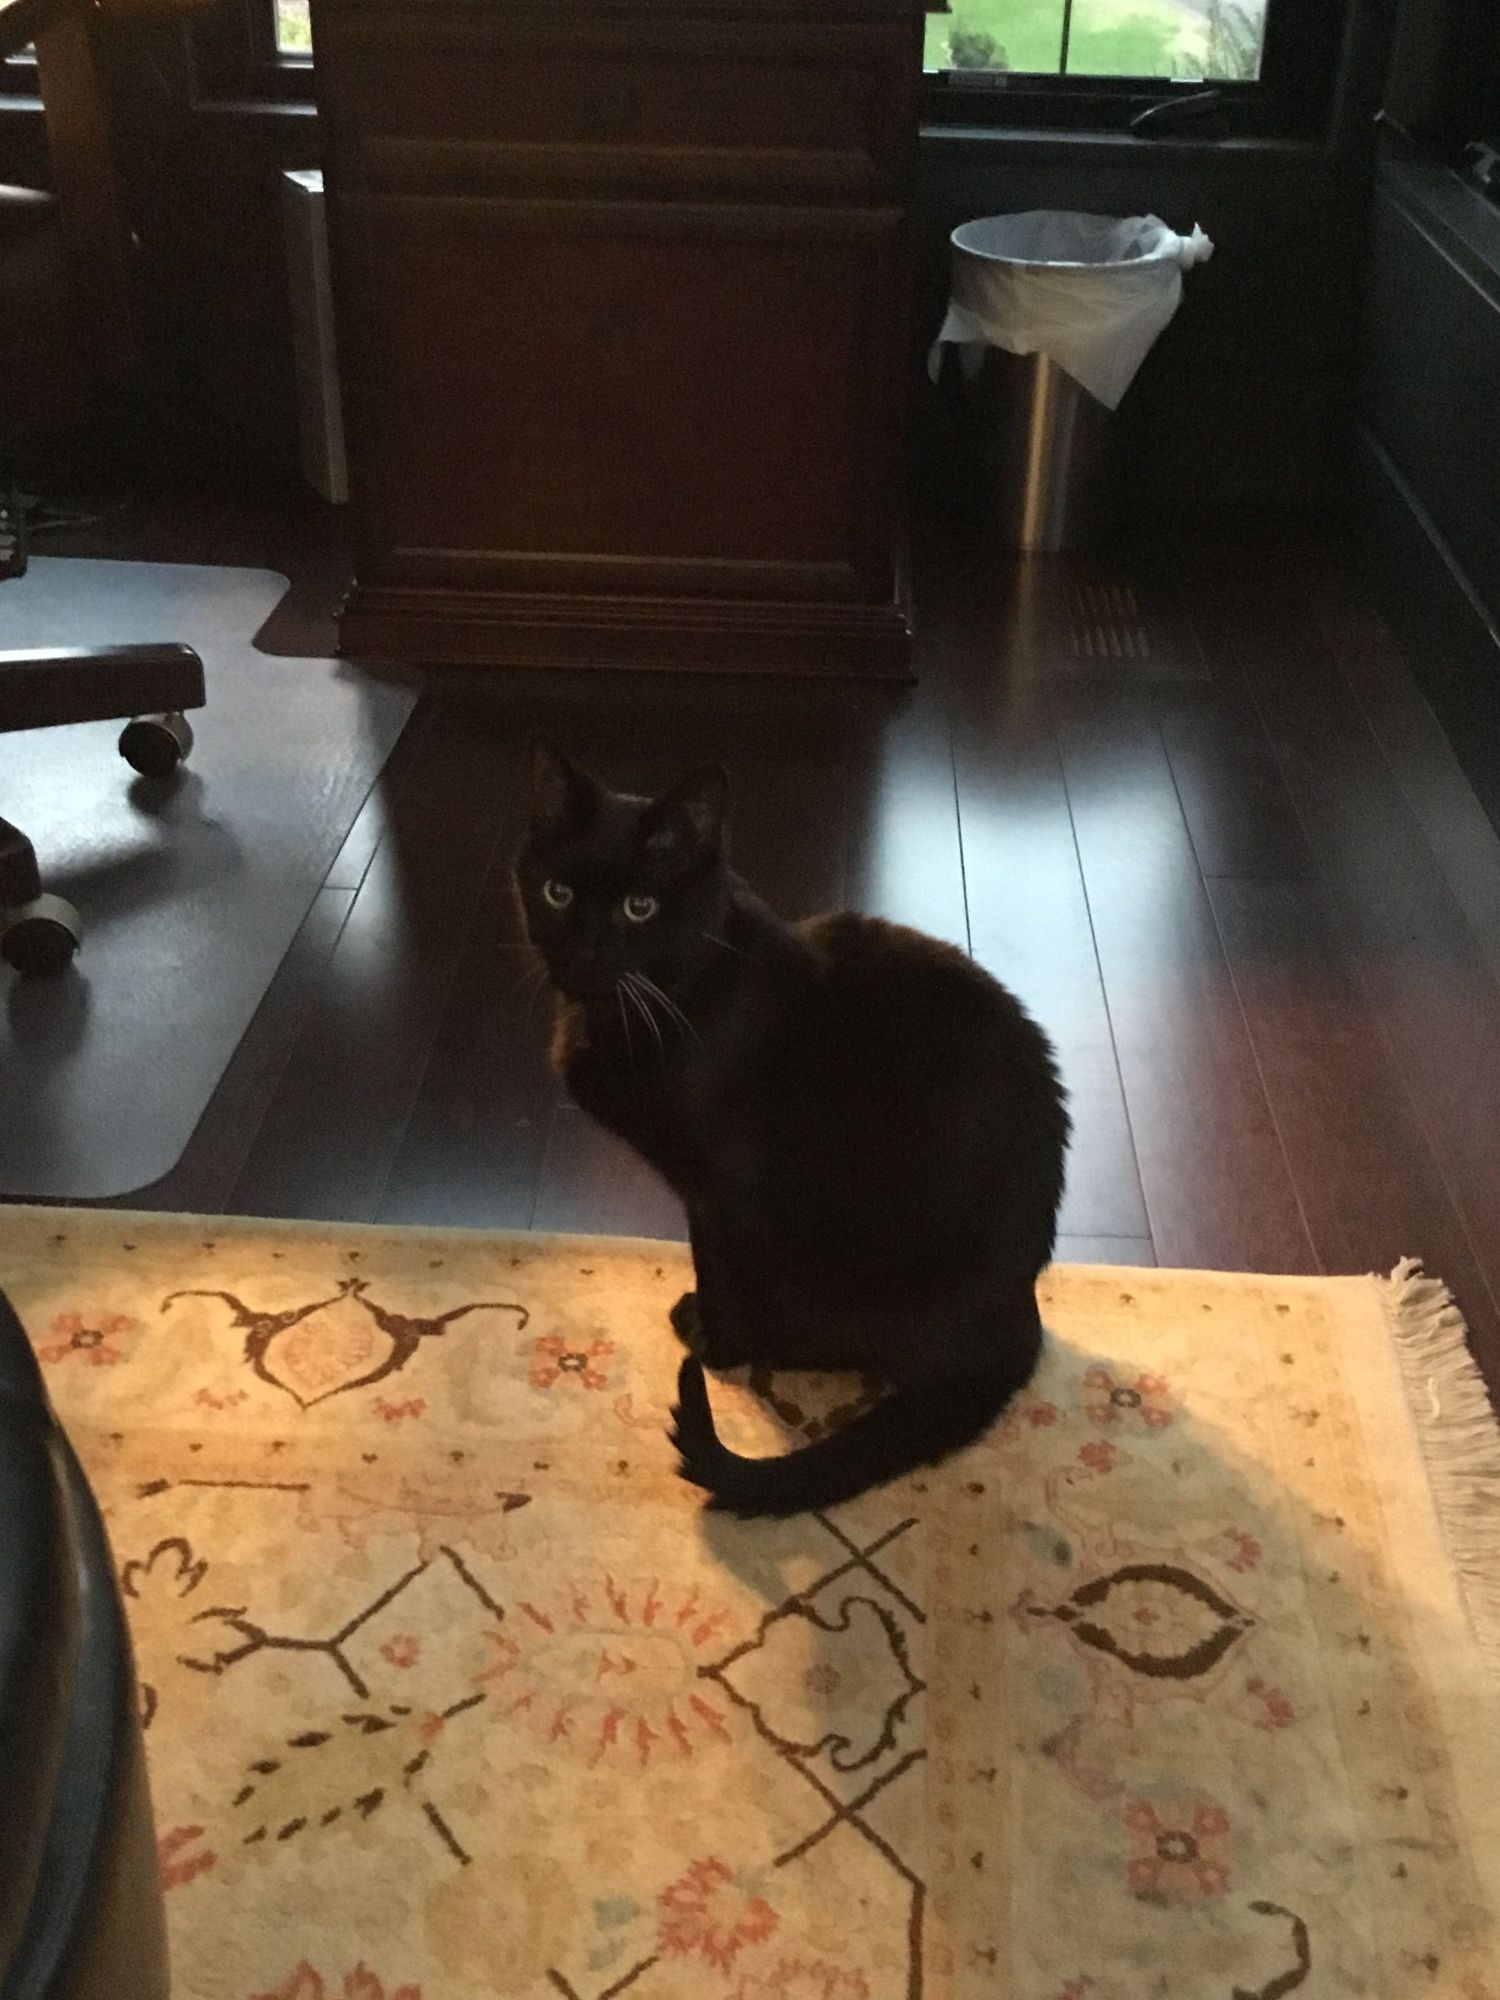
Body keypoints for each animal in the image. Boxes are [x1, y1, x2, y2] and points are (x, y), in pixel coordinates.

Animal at [515, 741, 1069, 1518]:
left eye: (639, 907)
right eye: (559, 893)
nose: (585, 954)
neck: (653, 1003)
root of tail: (1020, 1320)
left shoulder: (723, 1190)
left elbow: (718, 1267)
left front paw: (716, 1340)